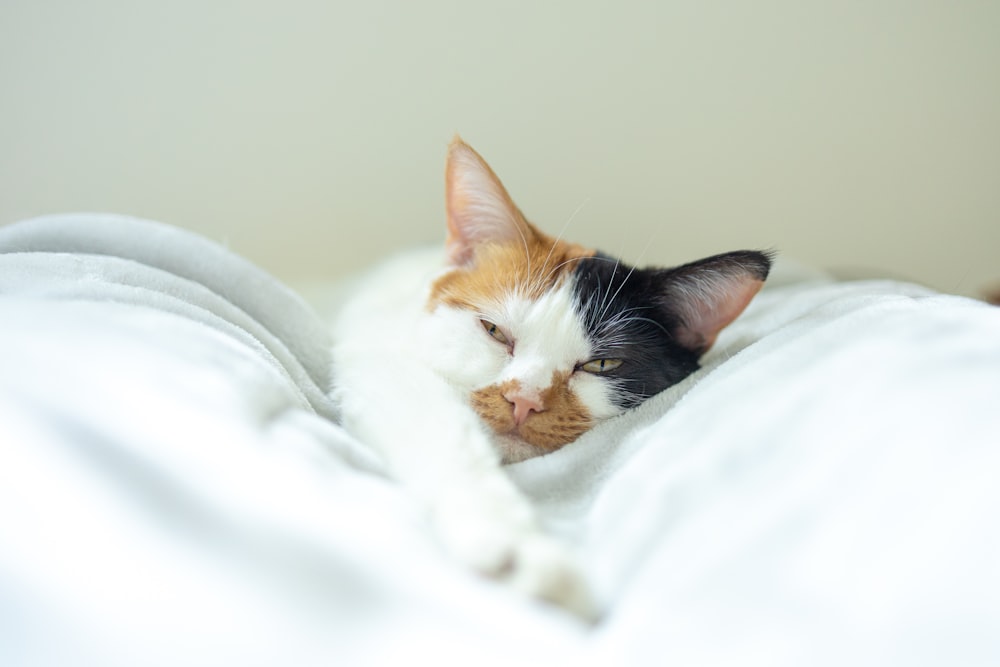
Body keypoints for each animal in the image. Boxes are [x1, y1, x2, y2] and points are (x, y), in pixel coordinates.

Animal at [330, 137, 772, 620]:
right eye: (494, 331)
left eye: (602, 365)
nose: (524, 400)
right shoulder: (378, 354)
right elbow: (441, 429)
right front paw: (516, 543)